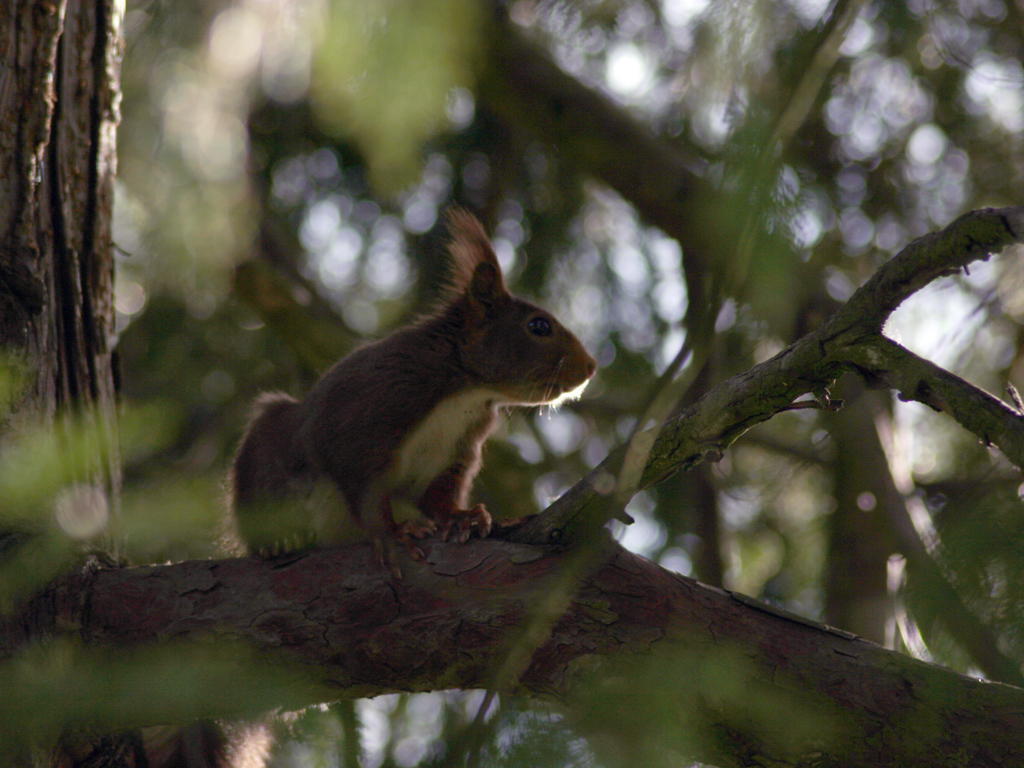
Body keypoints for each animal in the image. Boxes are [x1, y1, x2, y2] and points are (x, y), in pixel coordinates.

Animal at [230, 210, 598, 573]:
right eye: (539, 326)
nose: (591, 367)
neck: (465, 391)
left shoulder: (458, 446)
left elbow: (437, 493)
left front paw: (460, 517)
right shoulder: (369, 410)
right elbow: (359, 480)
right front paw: (393, 533)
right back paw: (278, 542)